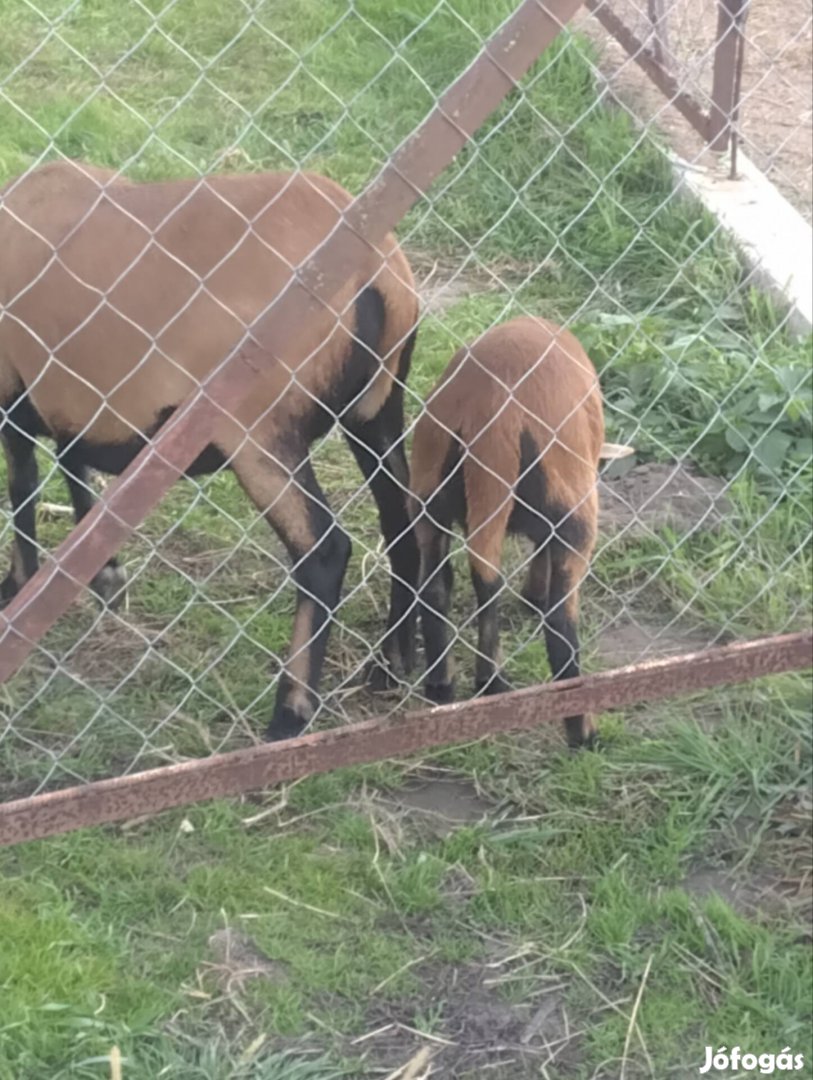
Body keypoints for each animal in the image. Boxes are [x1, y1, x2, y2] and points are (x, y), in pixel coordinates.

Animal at [0, 159, 418, 743]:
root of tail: (377, 272)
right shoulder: (73, 400)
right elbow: (73, 466)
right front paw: (102, 574)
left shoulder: (14, 391)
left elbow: (24, 482)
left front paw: (19, 586)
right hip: (376, 410)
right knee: (404, 521)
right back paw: (392, 666)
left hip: (261, 431)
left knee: (323, 549)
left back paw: (289, 716)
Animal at [408, 315, 604, 747]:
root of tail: (492, 409)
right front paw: (534, 596)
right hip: (577, 511)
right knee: (559, 622)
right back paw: (580, 731)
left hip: (429, 498)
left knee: (439, 587)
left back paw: (447, 684)